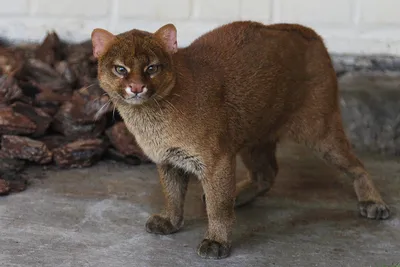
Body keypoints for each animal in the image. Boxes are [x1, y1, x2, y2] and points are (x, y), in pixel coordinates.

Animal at [91, 21, 390, 260]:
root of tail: (306, 30)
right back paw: (239, 194)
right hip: (253, 136)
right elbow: (173, 195)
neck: (151, 119)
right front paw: (171, 222)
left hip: (320, 129)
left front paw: (217, 242)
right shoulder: (168, 160)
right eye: (120, 69)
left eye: (152, 67)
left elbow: (218, 208)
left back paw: (373, 203)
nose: (136, 87)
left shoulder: (216, 159)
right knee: (267, 173)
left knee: (356, 164)